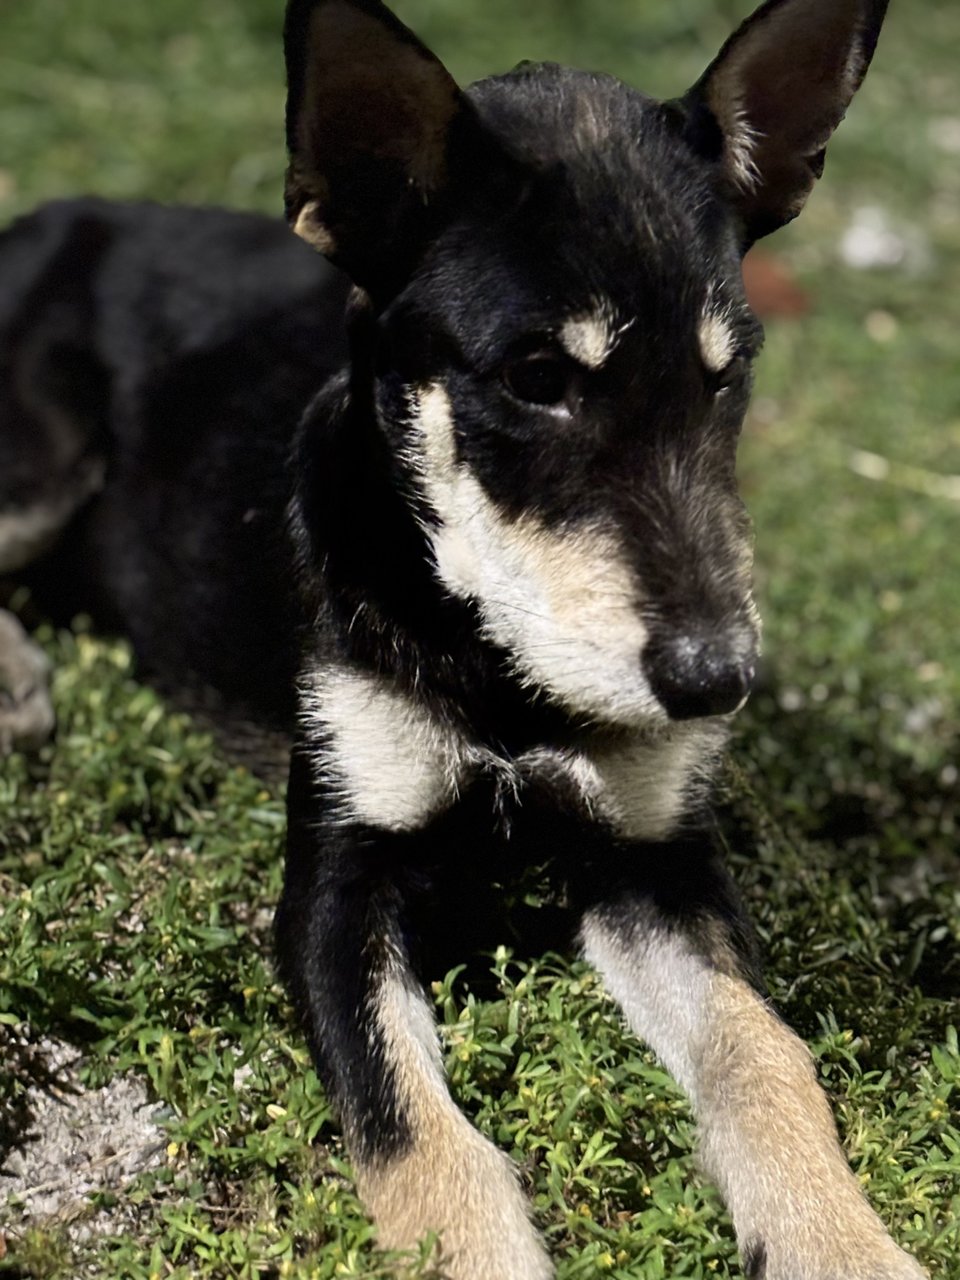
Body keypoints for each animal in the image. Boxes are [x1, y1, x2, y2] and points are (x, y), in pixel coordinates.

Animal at [0, 0, 931, 1274]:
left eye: (727, 374)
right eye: (536, 376)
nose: (717, 680)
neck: (489, 654)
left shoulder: (656, 863)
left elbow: (763, 1049)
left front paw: (841, 1237)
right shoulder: (335, 887)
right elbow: (419, 1138)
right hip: (38, 455)